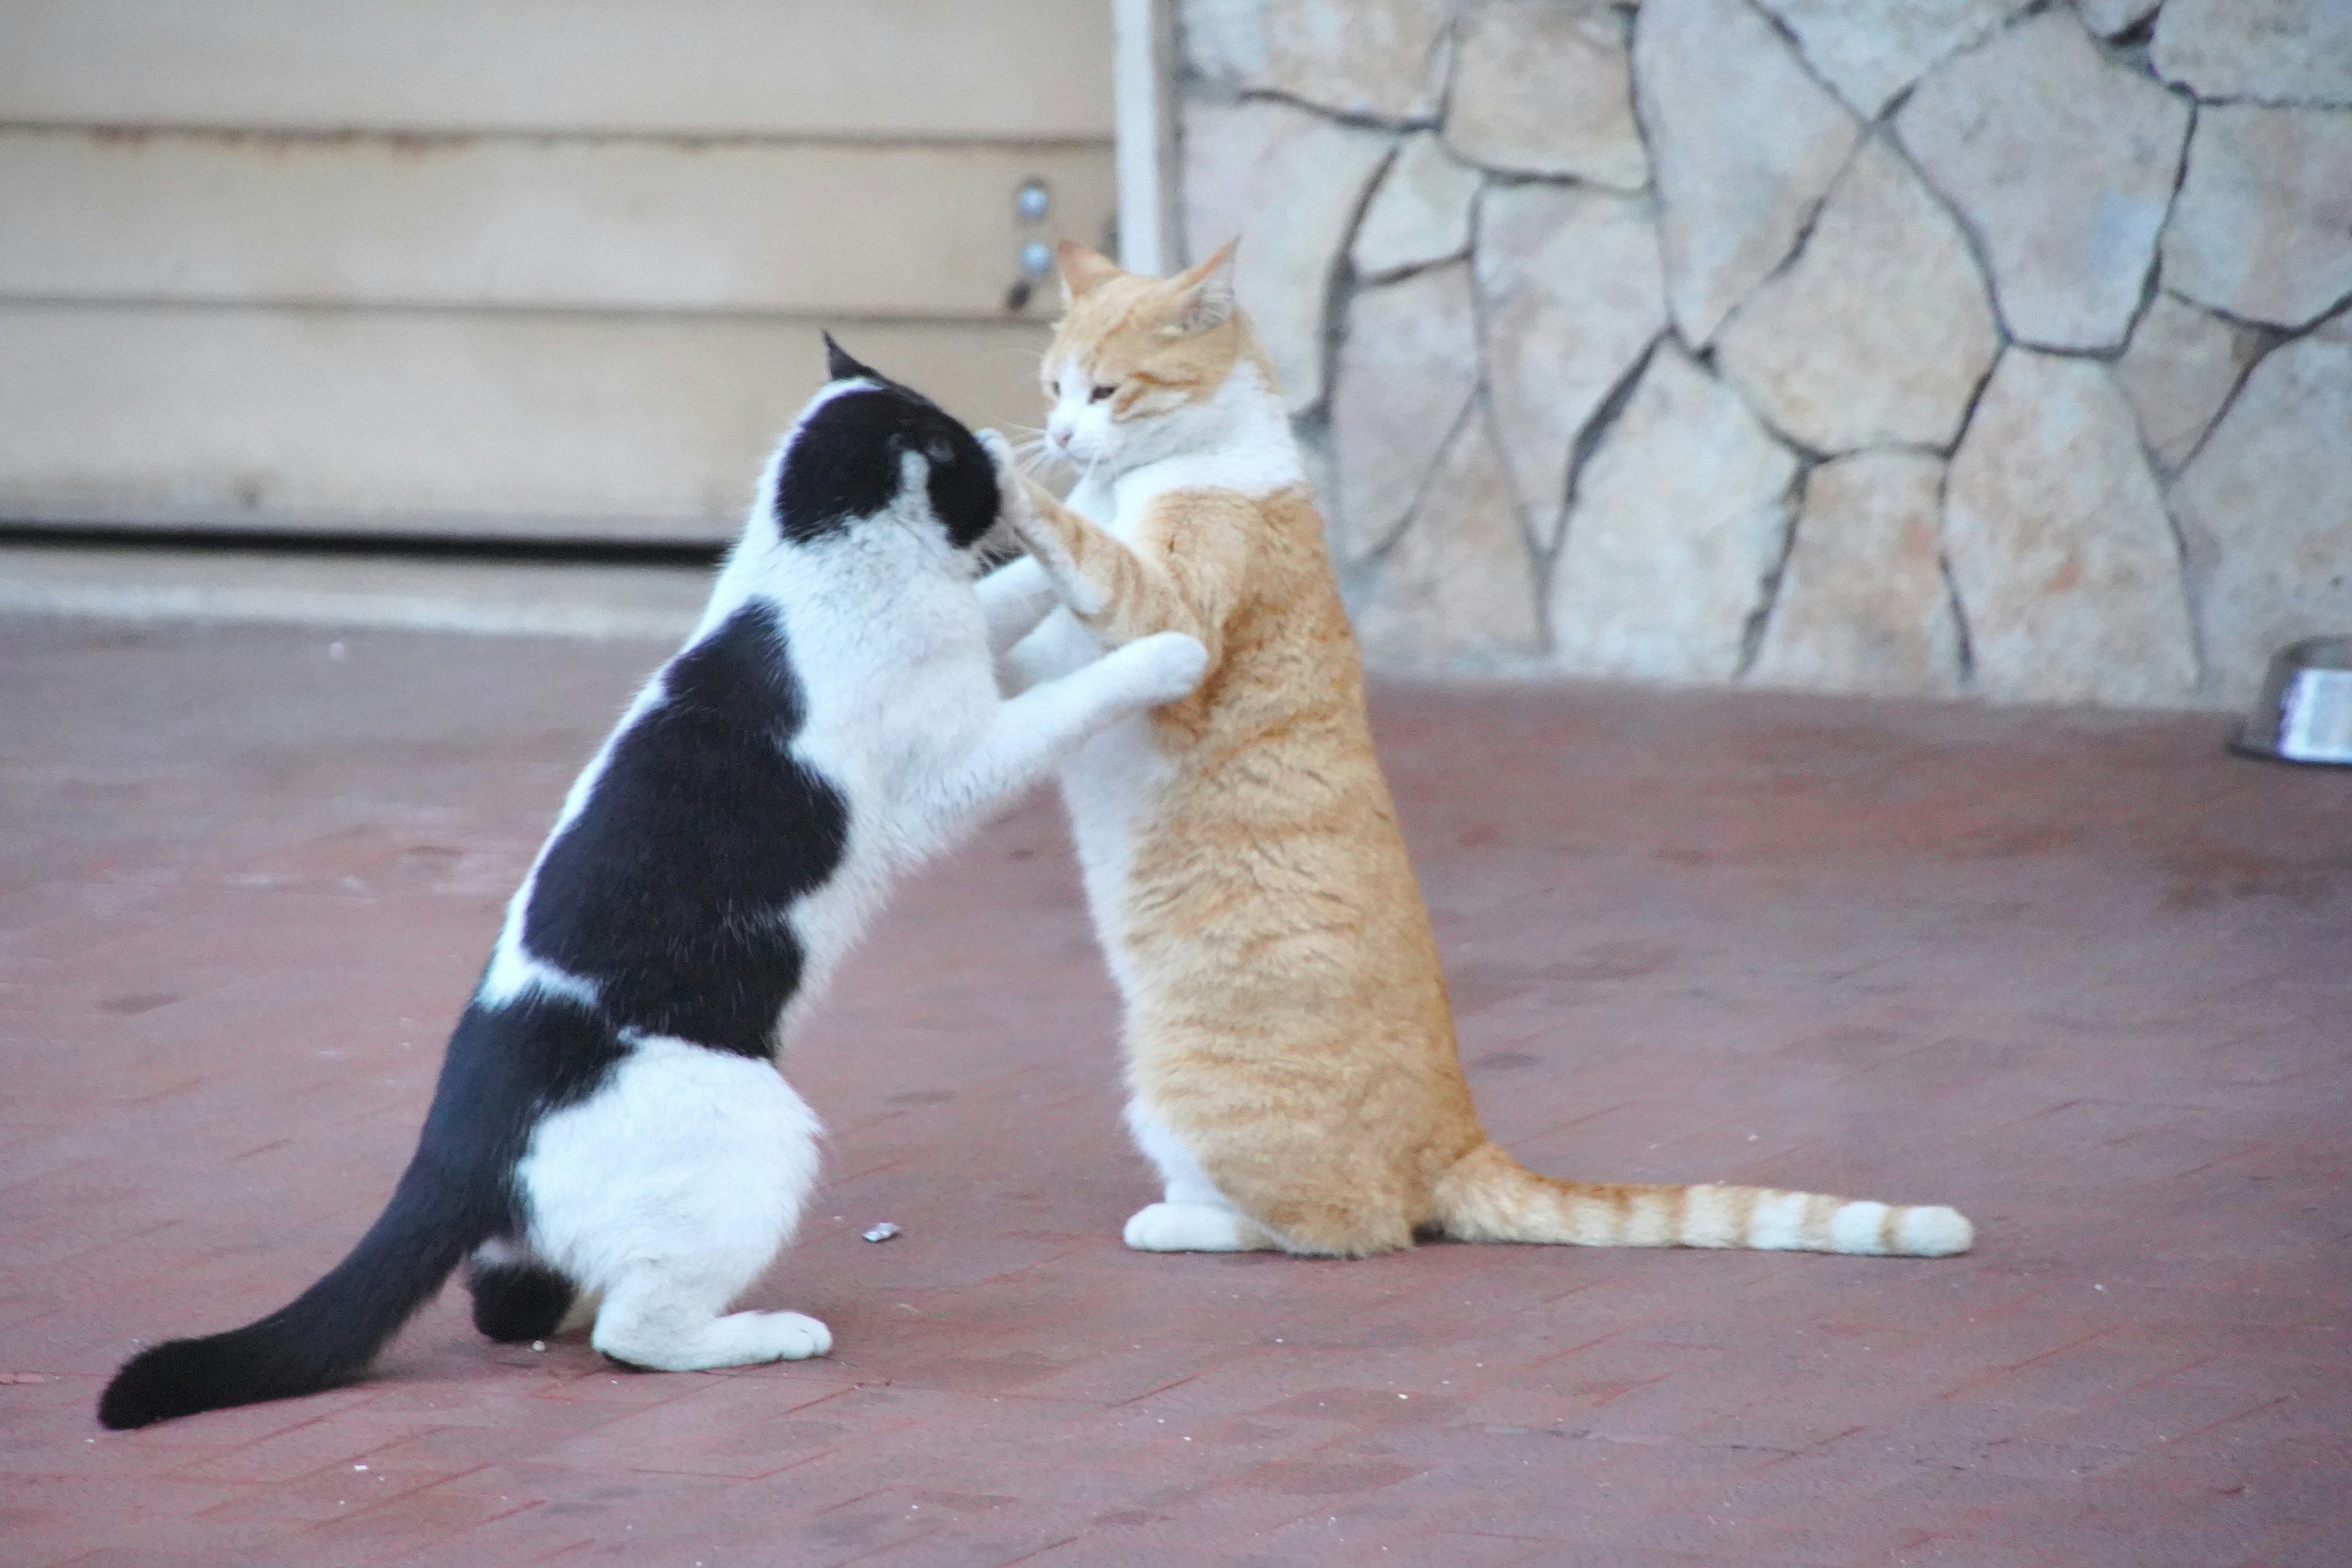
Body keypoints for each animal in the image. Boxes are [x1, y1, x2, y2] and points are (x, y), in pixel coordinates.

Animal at [99, 343, 1204, 1438]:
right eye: (954, 454)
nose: (1000, 448)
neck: (807, 570)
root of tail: (455, 1146)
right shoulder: (956, 769)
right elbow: (1072, 696)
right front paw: (1168, 648)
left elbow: (1006, 595)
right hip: (762, 1131)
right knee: (636, 1334)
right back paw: (761, 1332)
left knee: (512, 1302)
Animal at [983, 242, 1975, 1260]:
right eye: (1054, 387)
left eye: (1105, 391)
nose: (1058, 436)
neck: (1160, 469)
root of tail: (1459, 1141)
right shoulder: (1054, 662)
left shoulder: (1167, 611)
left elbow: (1092, 555)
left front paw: (1004, 479)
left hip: (1198, 1088)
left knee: (1346, 1225)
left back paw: (1180, 1225)